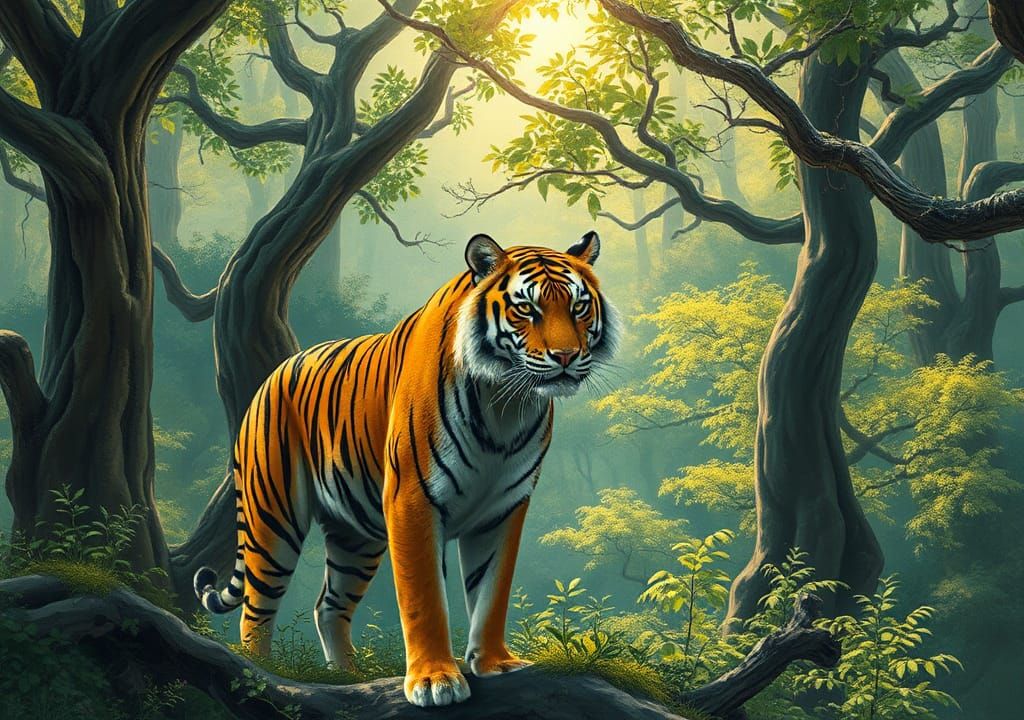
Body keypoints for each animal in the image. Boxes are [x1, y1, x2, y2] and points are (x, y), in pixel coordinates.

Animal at [193, 231, 619, 707]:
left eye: (579, 307)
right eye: (527, 308)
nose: (566, 356)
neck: (504, 402)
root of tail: (272, 375)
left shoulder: (504, 508)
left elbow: (492, 592)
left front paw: (495, 663)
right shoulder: (413, 498)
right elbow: (425, 598)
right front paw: (435, 680)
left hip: (356, 537)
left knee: (329, 605)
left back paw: (349, 678)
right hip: (273, 518)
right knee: (257, 608)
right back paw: (264, 673)